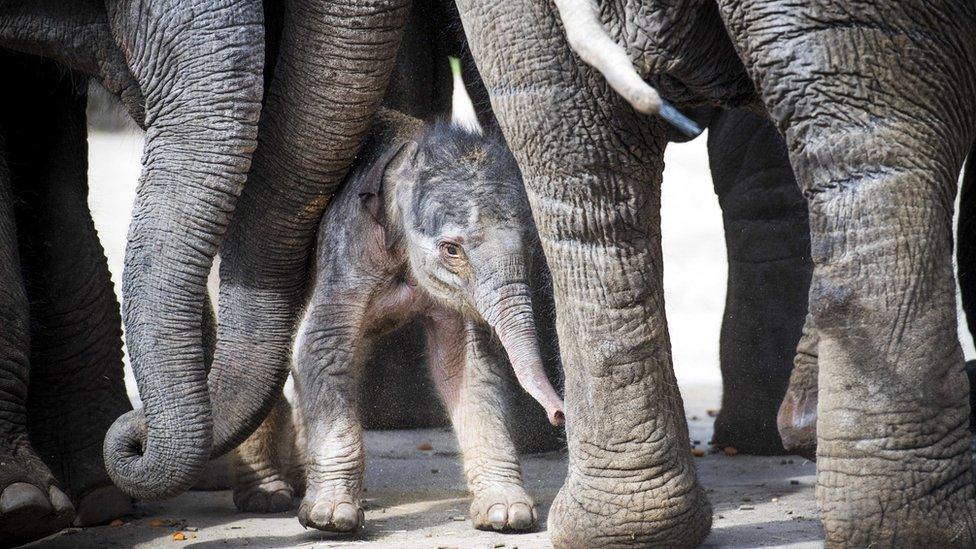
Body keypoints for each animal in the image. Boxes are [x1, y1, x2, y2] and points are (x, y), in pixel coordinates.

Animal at [234, 111, 564, 532]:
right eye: (451, 249)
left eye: (529, 248)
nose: (559, 414)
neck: (407, 150)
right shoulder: (347, 242)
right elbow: (321, 347)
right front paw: (331, 519)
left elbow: (466, 363)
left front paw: (506, 515)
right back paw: (266, 496)